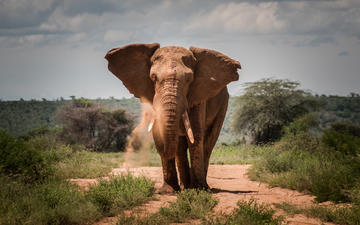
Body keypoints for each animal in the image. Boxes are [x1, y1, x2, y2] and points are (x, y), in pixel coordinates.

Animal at [105, 42, 243, 192]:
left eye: (189, 79)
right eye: (153, 77)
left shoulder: (199, 97)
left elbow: (196, 137)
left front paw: (198, 190)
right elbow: (161, 135)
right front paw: (168, 191)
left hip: (223, 103)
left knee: (208, 143)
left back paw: (201, 186)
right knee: (181, 147)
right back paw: (185, 186)